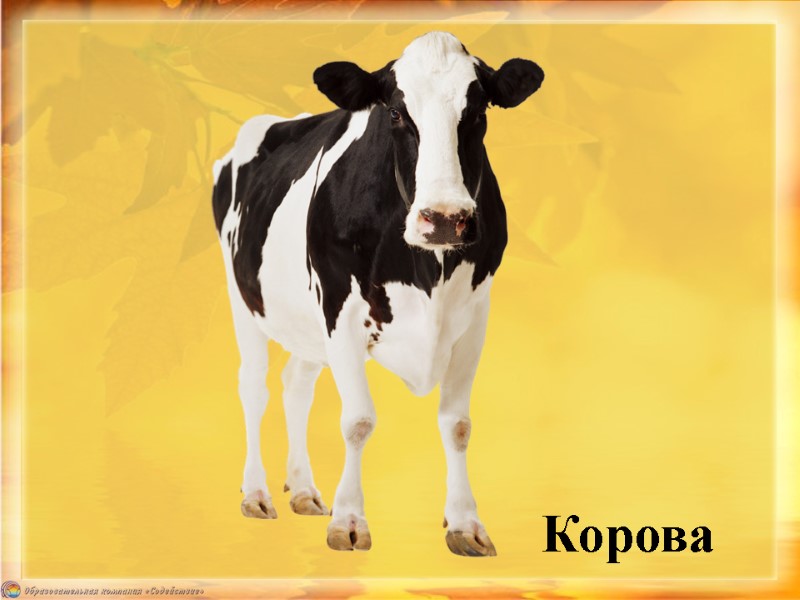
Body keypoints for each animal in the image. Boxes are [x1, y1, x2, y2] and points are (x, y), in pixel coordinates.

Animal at [212, 31, 544, 557]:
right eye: (394, 113)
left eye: (478, 111)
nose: (445, 218)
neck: (426, 269)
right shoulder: (340, 312)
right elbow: (358, 421)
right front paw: (349, 521)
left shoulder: (474, 318)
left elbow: (458, 424)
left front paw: (464, 524)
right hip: (243, 296)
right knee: (253, 386)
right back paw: (256, 493)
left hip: (306, 323)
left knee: (296, 385)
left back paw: (302, 490)